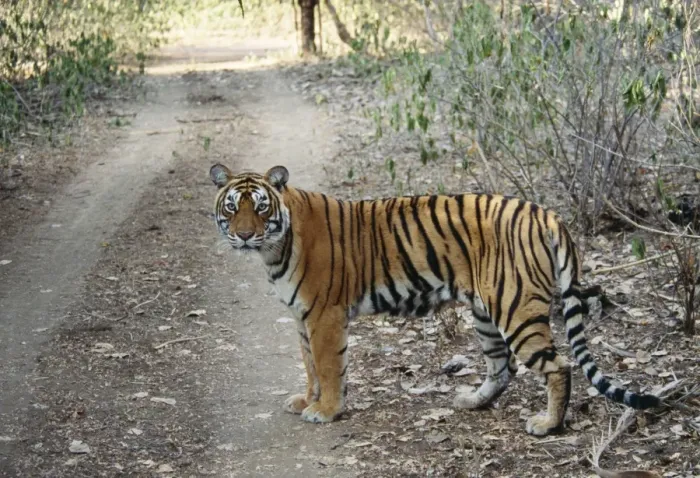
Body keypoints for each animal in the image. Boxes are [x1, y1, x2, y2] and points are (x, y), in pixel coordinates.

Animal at [209, 163, 660, 436]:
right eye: (232, 208)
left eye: (261, 208)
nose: (245, 235)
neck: (274, 248)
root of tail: (546, 213)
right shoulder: (303, 317)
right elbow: (310, 368)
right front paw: (308, 399)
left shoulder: (325, 316)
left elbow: (328, 366)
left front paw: (327, 411)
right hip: (485, 311)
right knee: (502, 367)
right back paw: (472, 401)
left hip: (515, 308)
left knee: (557, 365)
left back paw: (547, 424)